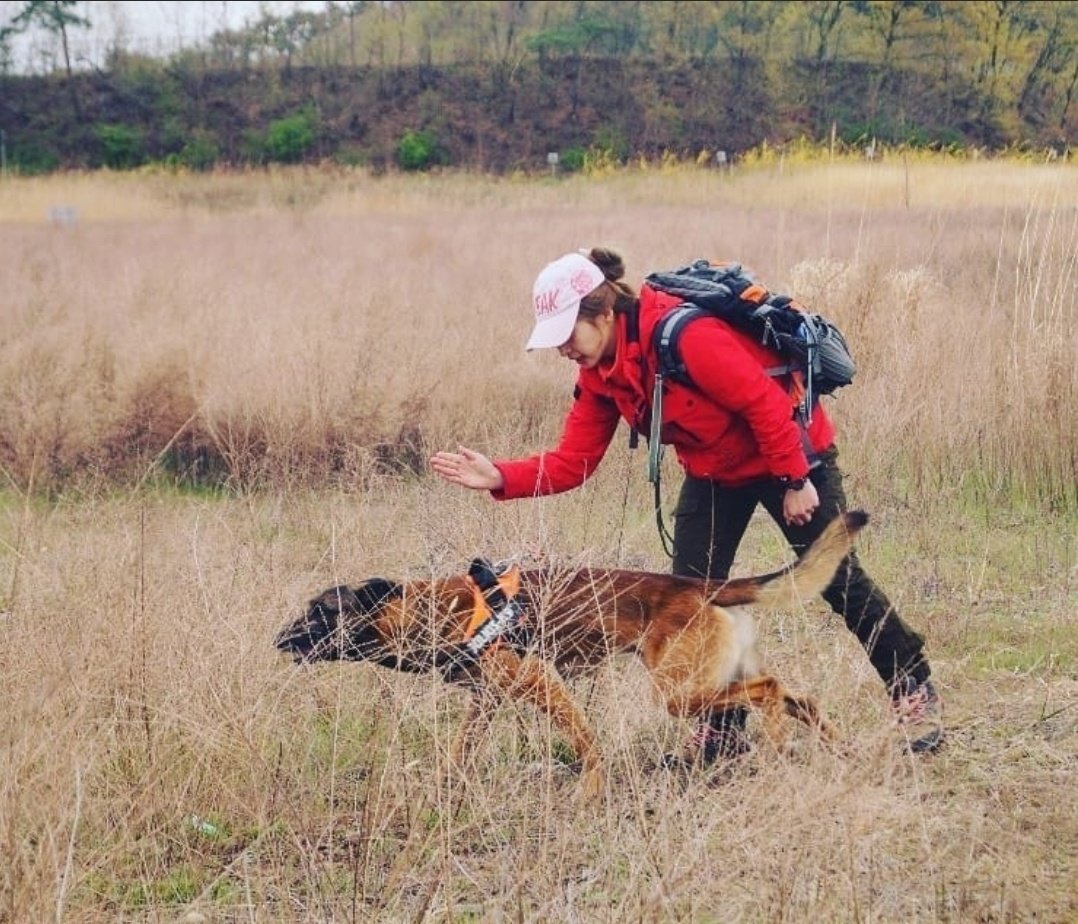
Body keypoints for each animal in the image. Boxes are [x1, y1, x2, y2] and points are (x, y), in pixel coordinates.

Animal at [278, 508, 866, 797]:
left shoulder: (542, 684)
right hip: (704, 687)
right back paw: (838, 748)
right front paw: (444, 786)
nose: (278, 640)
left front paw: (591, 790)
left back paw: (782, 744)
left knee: (770, 692)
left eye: (320, 612)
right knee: (798, 696)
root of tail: (701, 586)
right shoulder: (487, 700)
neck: (435, 611)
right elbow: (460, 751)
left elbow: (586, 743)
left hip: (679, 693)